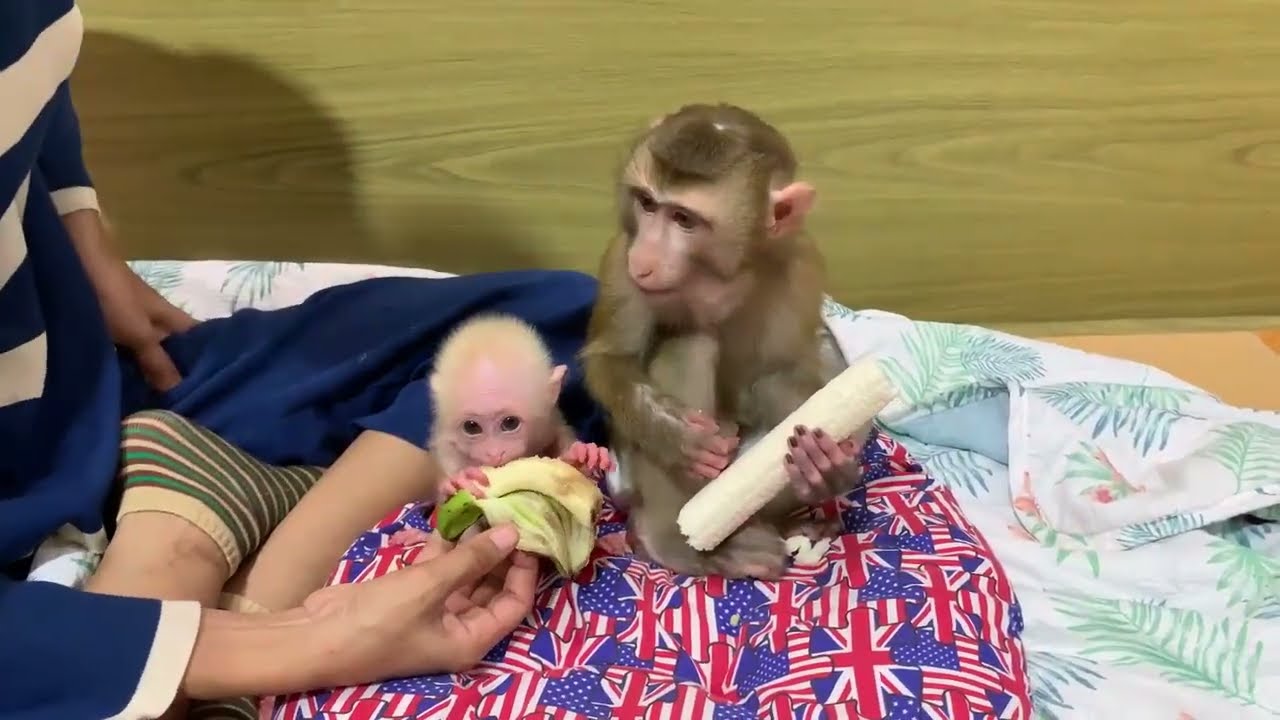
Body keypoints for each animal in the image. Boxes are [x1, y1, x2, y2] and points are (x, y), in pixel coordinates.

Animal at [388, 314, 613, 546]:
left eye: (510, 423)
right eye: (471, 427)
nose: (494, 453)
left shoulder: (548, 421)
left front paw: (580, 455)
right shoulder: (447, 439)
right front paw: (458, 481)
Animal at [582, 103, 872, 579]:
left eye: (684, 219)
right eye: (647, 204)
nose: (646, 259)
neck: (716, 274)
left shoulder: (802, 264)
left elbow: (790, 368)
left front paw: (826, 466)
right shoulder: (620, 260)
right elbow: (610, 359)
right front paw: (676, 434)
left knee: (814, 364)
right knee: (690, 341)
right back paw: (673, 542)